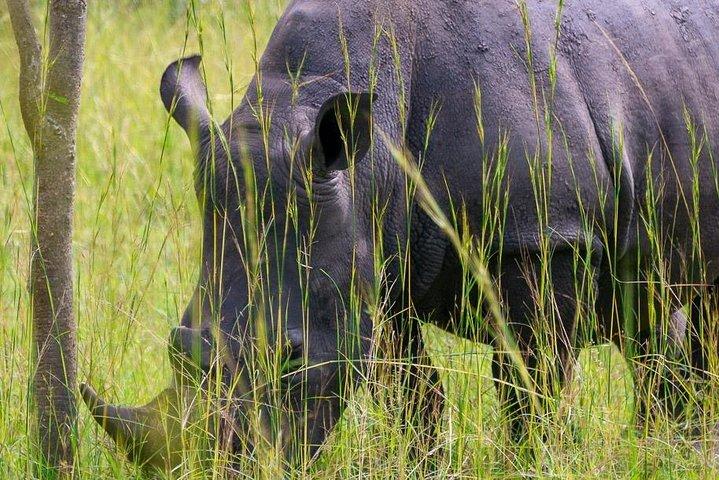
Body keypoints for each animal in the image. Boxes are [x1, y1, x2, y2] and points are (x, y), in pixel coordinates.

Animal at [81, 0, 719, 471]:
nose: (210, 467)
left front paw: (530, 465)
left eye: (290, 355)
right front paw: (426, 465)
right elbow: (410, 393)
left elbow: (527, 390)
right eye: (175, 345)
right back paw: (672, 451)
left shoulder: (541, 234)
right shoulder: (379, 264)